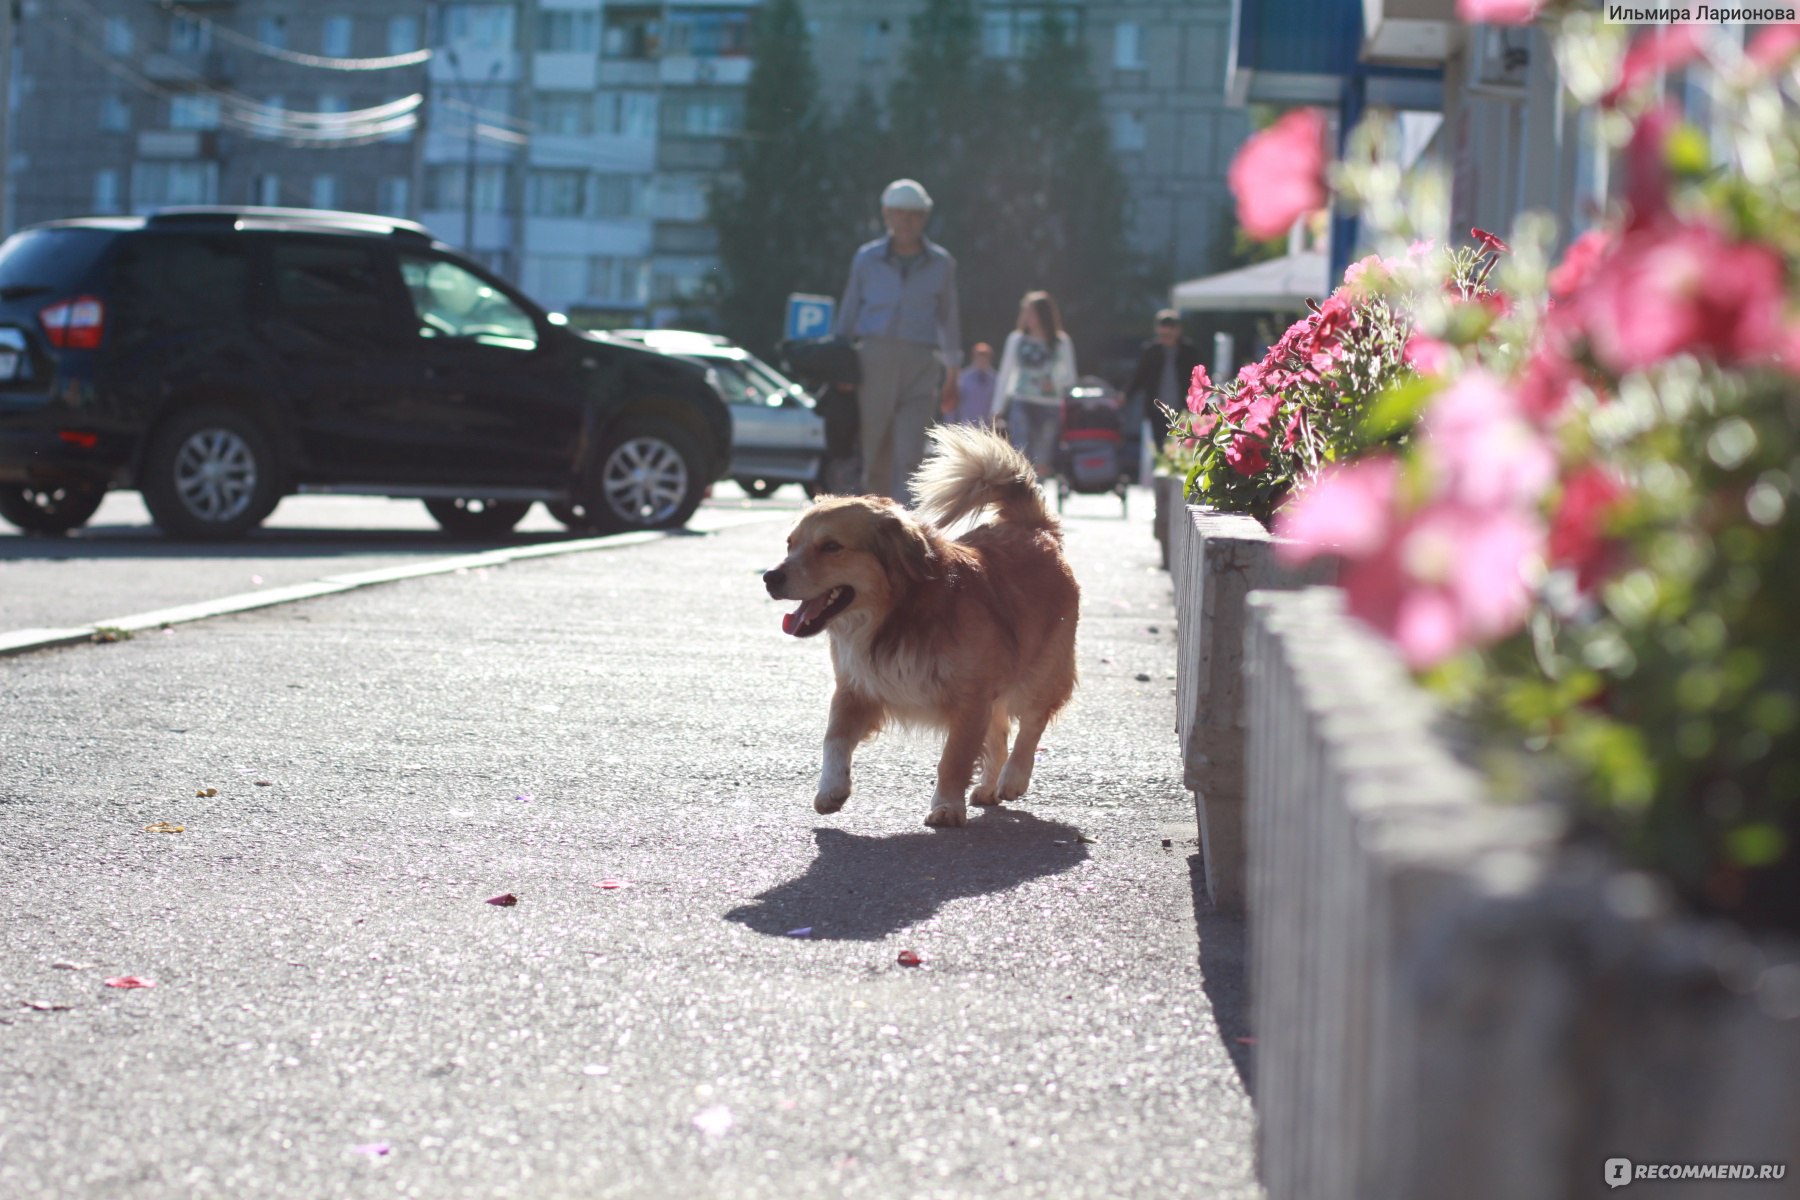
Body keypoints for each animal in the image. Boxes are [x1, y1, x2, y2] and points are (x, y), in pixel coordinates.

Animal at [763, 422, 1072, 827]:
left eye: (831, 547)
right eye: (789, 544)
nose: (769, 577)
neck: (896, 615)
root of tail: (1033, 528)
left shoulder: (970, 699)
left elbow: (954, 759)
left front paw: (946, 806)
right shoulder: (856, 687)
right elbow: (833, 738)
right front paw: (831, 788)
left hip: (1041, 672)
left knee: (1031, 725)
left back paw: (1013, 778)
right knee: (1000, 734)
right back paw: (989, 787)